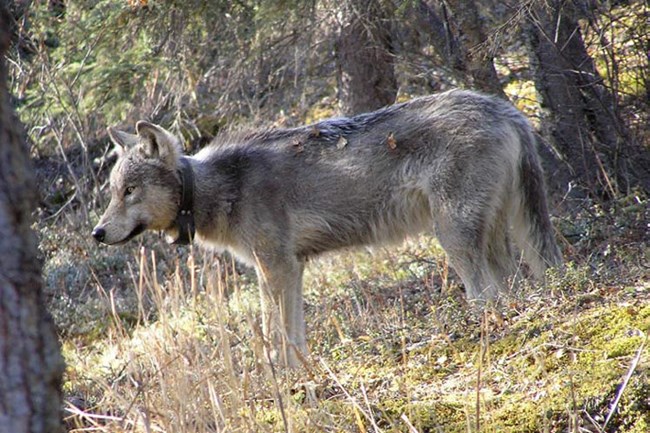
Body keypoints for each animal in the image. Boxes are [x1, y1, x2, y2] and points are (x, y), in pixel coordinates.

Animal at [91, 89, 560, 366]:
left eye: (130, 191)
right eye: (114, 192)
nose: (97, 233)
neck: (220, 187)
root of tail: (505, 108)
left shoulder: (276, 269)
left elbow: (276, 337)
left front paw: (279, 379)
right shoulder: (289, 270)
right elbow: (294, 337)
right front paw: (300, 375)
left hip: (454, 238)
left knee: (488, 295)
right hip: (495, 236)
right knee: (513, 286)